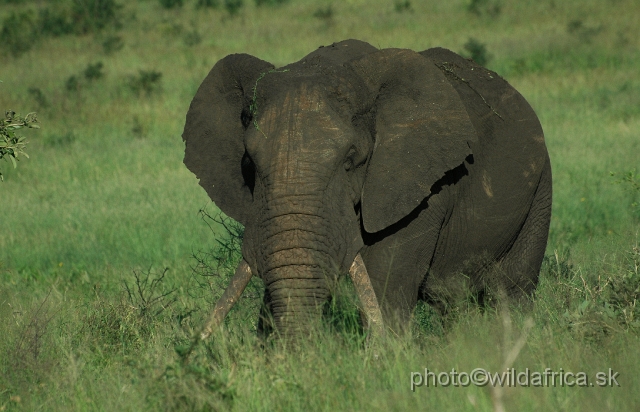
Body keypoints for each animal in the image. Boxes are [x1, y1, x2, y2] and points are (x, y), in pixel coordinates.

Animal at [180, 39, 552, 342]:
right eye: (249, 163)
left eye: (351, 160)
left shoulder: (420, 189)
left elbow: (385, 287)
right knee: (456, 303)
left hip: (540, 190)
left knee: (512, 290)